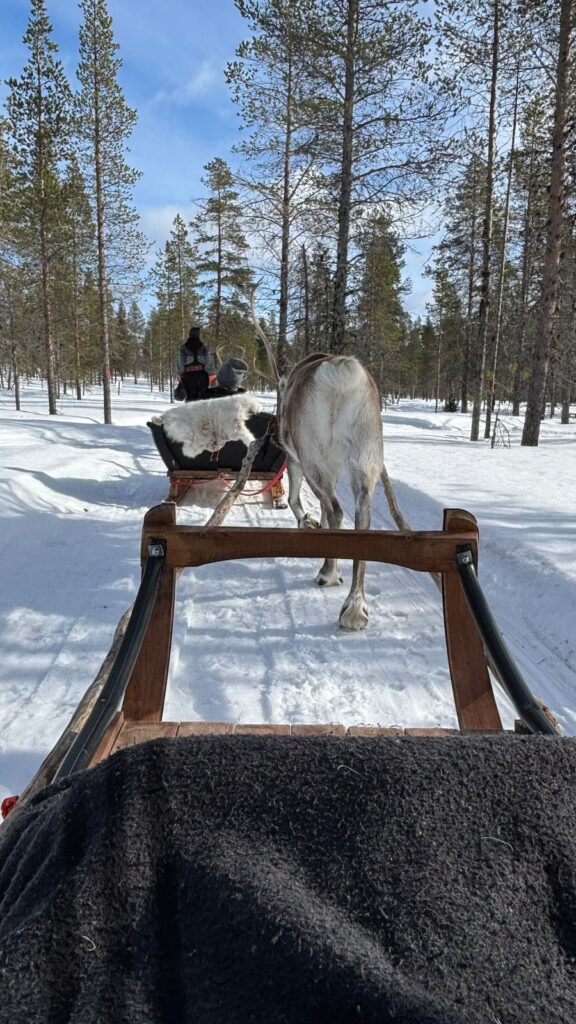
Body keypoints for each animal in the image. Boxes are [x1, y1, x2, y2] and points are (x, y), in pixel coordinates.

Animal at [278, 352, 384, 631]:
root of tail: (341, 373)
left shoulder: (294, 460)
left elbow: (295, 500)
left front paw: (307, 523)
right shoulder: (334, 471)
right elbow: (323, 512)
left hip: (312, 459)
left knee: (336, 511)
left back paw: (328, 574)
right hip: (365, 461)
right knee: (361, 517)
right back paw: (355, 605)